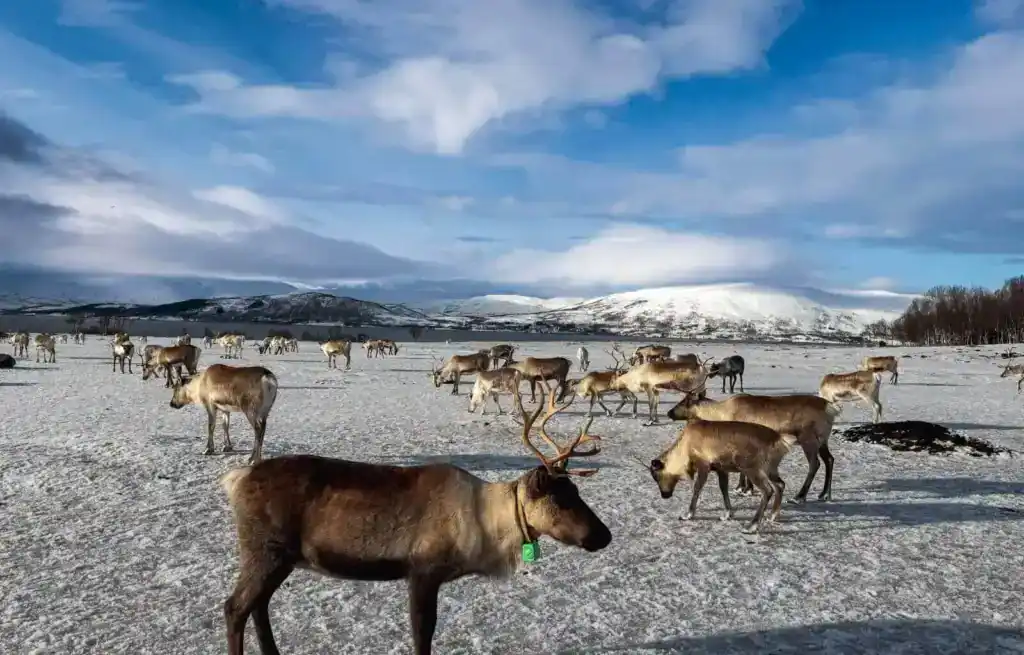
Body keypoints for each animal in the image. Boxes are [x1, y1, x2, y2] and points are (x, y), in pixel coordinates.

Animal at [217, 384, 610, 655]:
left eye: (577, 490)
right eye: (560, 498)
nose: (603, 536)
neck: (486, 523)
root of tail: (235, 479)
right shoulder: (423, 570)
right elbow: (423, 634)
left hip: (279, 558)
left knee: (259, 606)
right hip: (265, 551)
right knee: (235, 607)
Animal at [645, 418, 800, 533]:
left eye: (656, 476)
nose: (665, 495)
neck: (684, 449)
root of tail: (780, 440)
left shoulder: (704, 465)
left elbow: (697, 488)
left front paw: (688, 515)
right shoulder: (721, 469)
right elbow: (723, 489)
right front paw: (727, 514)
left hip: (751, 468)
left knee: (768, 490)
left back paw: (751, 526)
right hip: (771, 469)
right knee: (780, 485)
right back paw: (772, 516)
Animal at [666, 385, 843, 503]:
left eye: (685, 401)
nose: (669, 412)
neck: (721, 413)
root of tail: (831, 408)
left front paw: (744, 488)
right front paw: (745, 488)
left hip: (809, 440)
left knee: (815, 464)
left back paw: (799, 496)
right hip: (823, 440)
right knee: (830, 459)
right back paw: (824, 494)